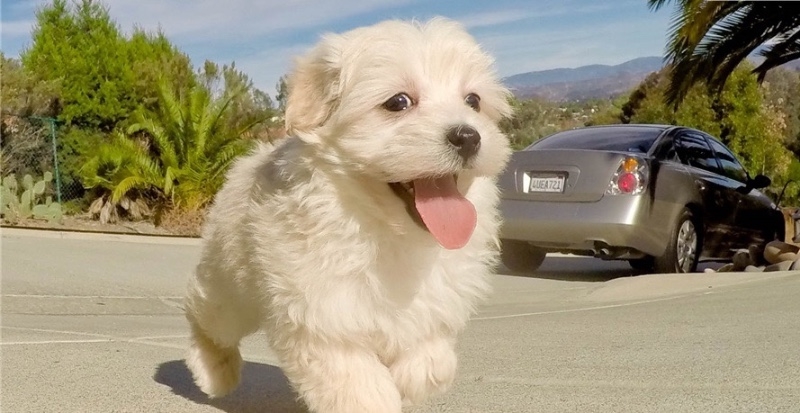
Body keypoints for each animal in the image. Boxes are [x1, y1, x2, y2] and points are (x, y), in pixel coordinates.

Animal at [186, 16, 512, 412]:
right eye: (398, 102)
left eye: (473, 101)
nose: (468, 136)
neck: (389, 232)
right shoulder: (323, 317)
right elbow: (357, 384)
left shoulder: (435, 302)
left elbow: (432, 356)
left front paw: (413, 378)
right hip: (231, 286)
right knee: (207, 317)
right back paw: (214, 371)